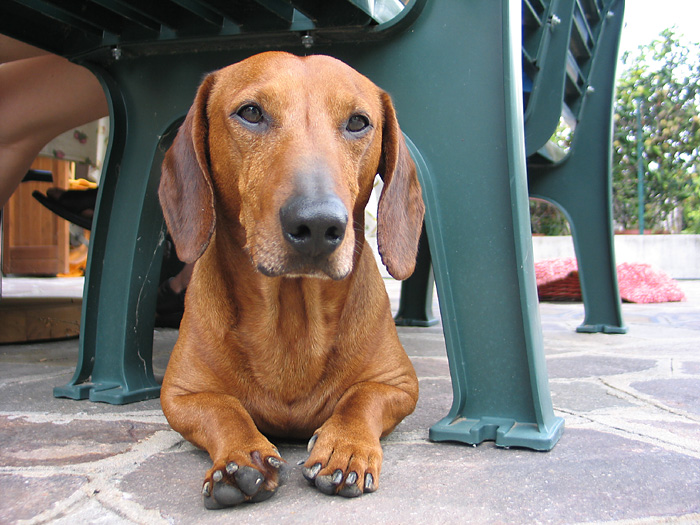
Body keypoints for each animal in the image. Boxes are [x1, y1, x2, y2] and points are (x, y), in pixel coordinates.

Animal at [159, 53, 424, 508]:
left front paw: (345, 446)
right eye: (251, 113)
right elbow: (223, 408)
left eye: (358, 122)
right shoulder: (179, 395)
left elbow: (361, 398)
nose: (317, 224)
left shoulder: (400, 384)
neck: (292, 317)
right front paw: (240, 455)